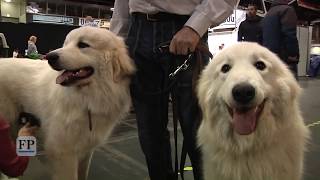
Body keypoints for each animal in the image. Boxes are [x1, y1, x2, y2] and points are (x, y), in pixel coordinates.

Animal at [0, 26, 134, 180]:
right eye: (66, 44)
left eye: (83, 45)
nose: (50, 57)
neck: (88, 99)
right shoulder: (64, 152)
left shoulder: (86, 148)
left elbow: (83, 173)